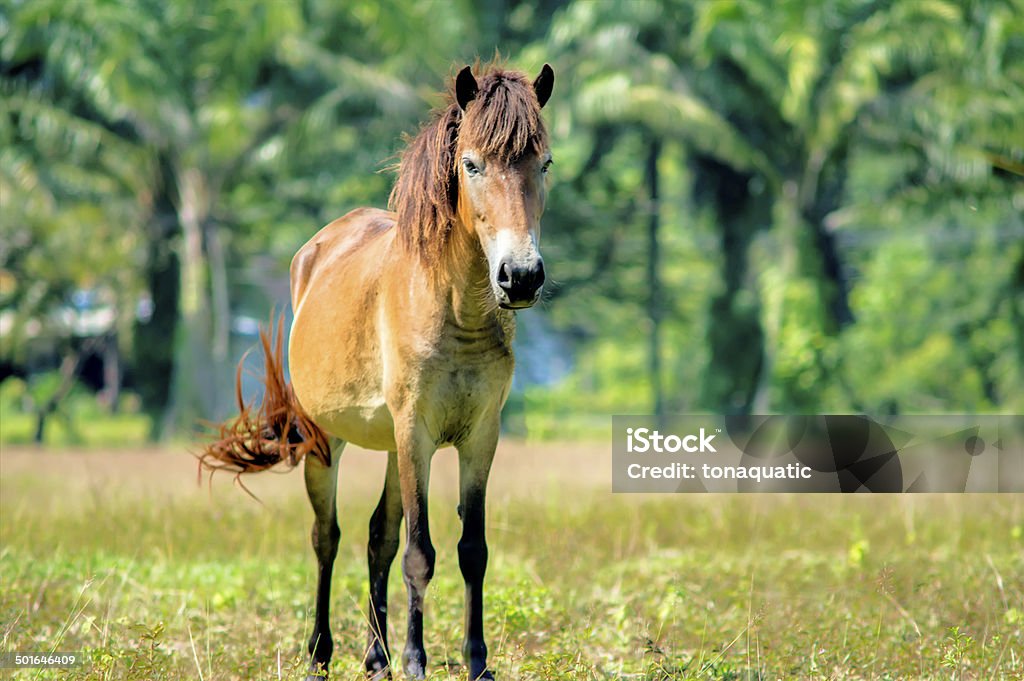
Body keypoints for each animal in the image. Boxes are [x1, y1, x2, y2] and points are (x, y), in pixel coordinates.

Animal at [199, 61, 552, 675]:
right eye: (471, 163)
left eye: (545, 164)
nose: (522, 276)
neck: (455, 310)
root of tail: (316, 248)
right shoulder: (416, 433)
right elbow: (419, 553)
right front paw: (415, 660)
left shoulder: (480, 437)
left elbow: (470, 550)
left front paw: (476, 662)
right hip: (327, 440)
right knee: (327, 536)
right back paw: (322, 654)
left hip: (390, 446)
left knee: (375, 537)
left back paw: (375, 657)